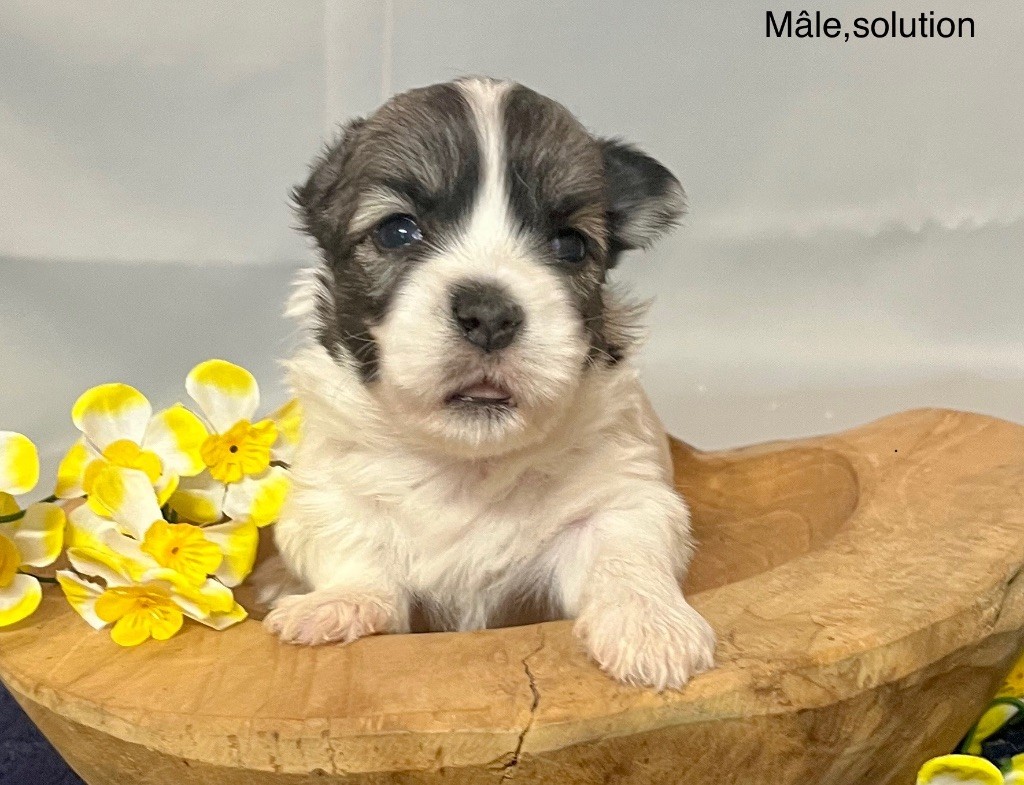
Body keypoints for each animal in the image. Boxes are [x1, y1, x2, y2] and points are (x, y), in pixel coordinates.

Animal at [260, 76, 716, 691]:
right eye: (397, 231)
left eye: (570, 244)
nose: (490, 313)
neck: (466, 464)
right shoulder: (326, 495)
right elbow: (353, 547)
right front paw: (337, 604)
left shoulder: (624, 494)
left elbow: (625, 553)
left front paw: (651, 627)